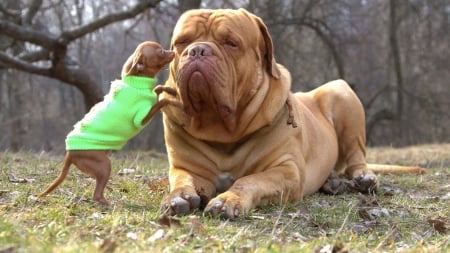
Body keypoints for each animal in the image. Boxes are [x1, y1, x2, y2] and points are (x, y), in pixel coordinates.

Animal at [39, 40, 176, 205]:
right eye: (161, 52)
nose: (173, 51)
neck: (135, 84)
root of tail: (70, 153)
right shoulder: (142, 117)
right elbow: (160, 102)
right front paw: (174, 100)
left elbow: (157, 89)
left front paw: (170, 90)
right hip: (104, 165)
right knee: (97, 195)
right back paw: (110, 204)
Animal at [159, 8, 426, 218]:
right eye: (181, 42)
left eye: (230, 43)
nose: (198, 50)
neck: (221, 128)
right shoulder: (187, 168)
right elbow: (182, 181)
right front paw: (178, 197)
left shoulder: (287, 170)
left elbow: (248, 180)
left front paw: (227, 200)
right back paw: (331, 182)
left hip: (341, 93)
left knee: (356, 158)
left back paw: (363, 178)